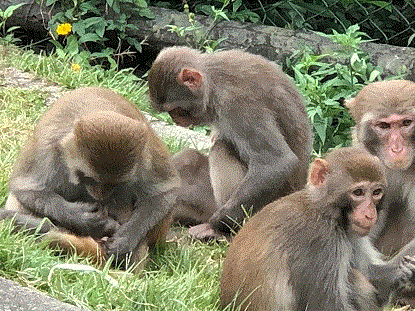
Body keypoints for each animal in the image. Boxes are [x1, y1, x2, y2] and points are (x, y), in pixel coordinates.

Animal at [0, 86, 179, 270]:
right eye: (90, 179)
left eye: (115, 183)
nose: (100, 194)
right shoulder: (46, 149)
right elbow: (26, 189)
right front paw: (83, 219)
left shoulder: (147, 154)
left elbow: (164, 193)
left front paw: (125, 238)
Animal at [148, 45, 314, 239]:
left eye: (177, 110)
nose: (176, 120)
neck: (213, 83)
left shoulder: (238, 104)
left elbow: (276, 161)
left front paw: (219, 221)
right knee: (190, 159)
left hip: (258, 210)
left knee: (221, 149)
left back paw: (219, 230)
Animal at [221, 147, 415, 311]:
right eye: (358, 192)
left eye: (376, 192)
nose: (370, 214)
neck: (324, 210)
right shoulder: (320, 241)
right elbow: (326, 305)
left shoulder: (350, 235)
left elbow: (368, 271)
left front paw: (402, 271)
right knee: (353, 278)